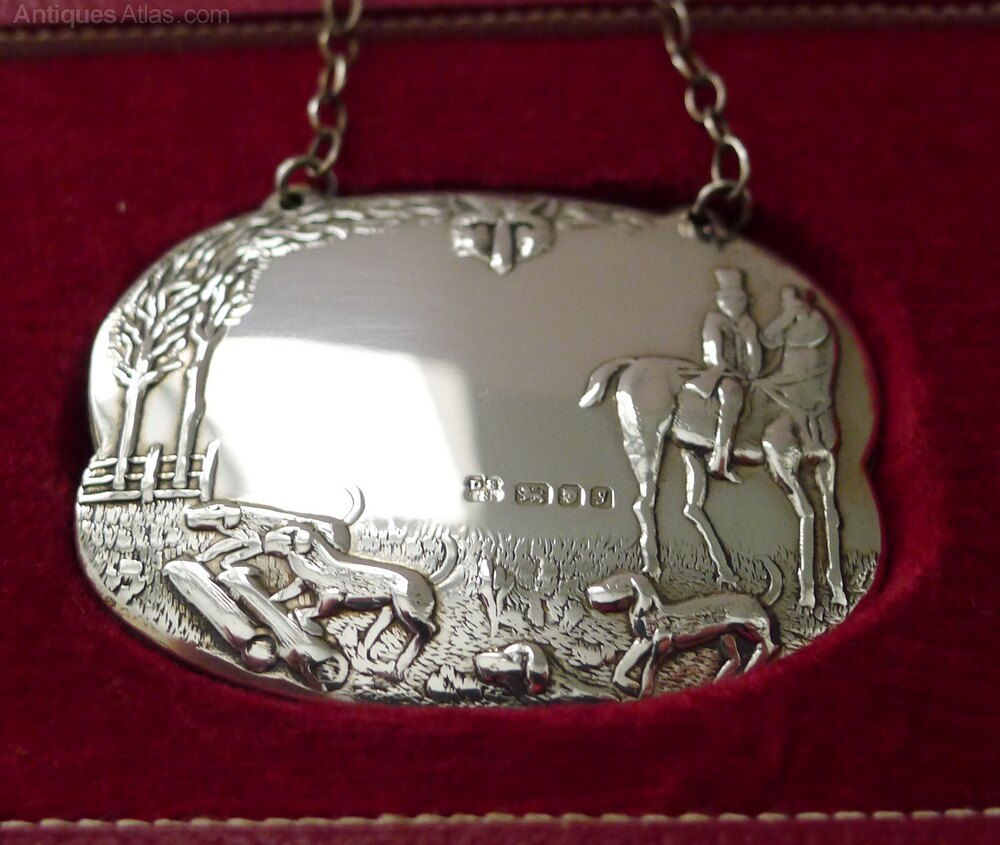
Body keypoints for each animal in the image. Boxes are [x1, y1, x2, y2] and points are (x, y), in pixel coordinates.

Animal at [263, 525, 457, 679]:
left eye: (286, 533)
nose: (265, 538)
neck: (316, 560)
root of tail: (429, 581)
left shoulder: (333, 596)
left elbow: (311, 611)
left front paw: (307, 623)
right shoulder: (303, 583)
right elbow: (287, 592)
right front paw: (273, 598)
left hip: (406, 608)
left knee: (429, 629)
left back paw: (399, 666)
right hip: (389, 609)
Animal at [579, 339, 846, 610]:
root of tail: (634, 363)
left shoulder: (827, 464)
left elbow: (831, 516)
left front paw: (838, 593)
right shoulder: (780, 459)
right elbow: (808, 512)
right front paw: (807, 596)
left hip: (690, 450)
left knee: (691, 507)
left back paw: (727, 575)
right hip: (646, 441)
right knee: (644, 503)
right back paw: (653, 569)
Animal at [587, 571, 778, 697]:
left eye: (611, 585)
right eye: (605, 580)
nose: (588, 591)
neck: (651, 612)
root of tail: (757, 600)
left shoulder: (663, 643)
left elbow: (649, 667)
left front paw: (645, 691)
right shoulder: (642, 641)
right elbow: (624, 663)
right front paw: (626, 683)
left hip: (751, 626)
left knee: (769, 645)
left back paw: (752, 666)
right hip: (727, 636)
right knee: (736, 659)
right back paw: (722, 679)